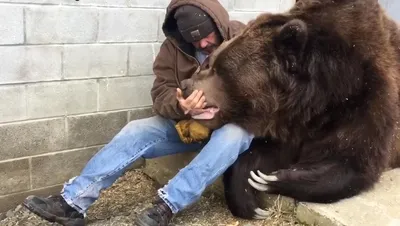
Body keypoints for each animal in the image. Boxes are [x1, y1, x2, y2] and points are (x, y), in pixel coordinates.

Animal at [180, 0, 400, 221]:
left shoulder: (366, 101)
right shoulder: (288, 122)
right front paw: (250, 199)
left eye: (218, 68)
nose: (185, 84)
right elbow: (263, 152)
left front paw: (272, 179)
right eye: (211, 62)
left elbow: (351, 162)